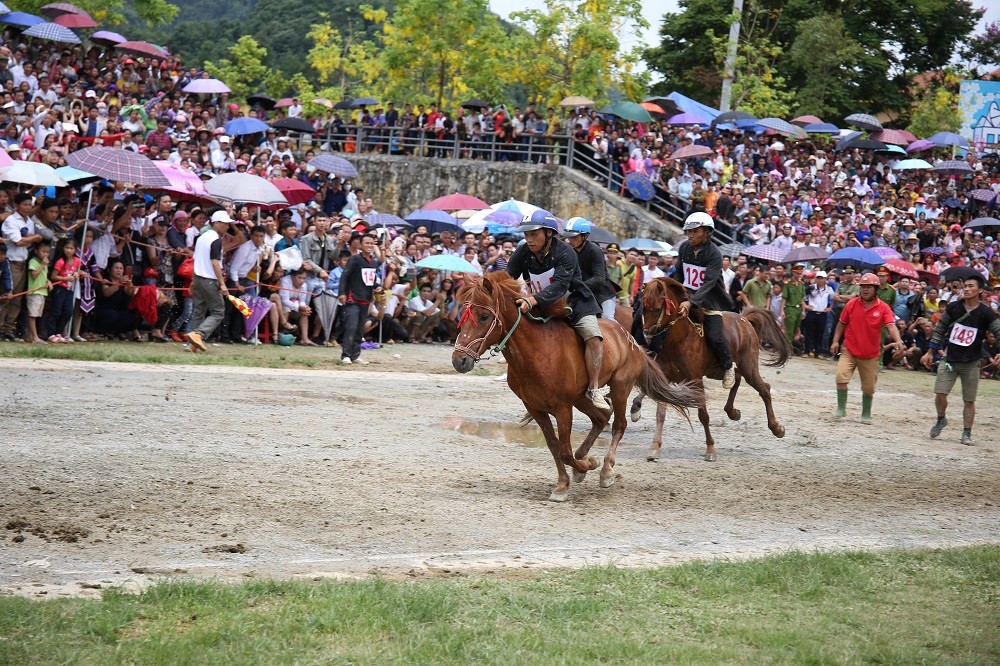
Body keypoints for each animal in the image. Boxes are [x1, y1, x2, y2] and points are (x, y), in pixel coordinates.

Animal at [456, 272, 704, 500]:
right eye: (461, 316)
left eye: (484, 316)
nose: (459, 360)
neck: (537, 351)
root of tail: (632, 340)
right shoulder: (536, 408)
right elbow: (554, 447)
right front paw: (565, 482)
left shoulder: (562, 408)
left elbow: (565, 451)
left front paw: (586, 467)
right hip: (581, 397)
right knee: (601, 419)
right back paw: (585, 459)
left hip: (620, 387)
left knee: (618, 424)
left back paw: (606, 470)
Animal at [632, 278, 788, 460]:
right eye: (643, 308)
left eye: (658, 309)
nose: (647, 336)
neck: (678, 340)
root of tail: (744, 319)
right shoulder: (665, 378)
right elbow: (660, 414)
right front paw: (654, 447)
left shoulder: (696, 380)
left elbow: (703, 416)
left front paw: (711, 449)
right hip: (718, 371)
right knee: (736, 378)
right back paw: (733, 412)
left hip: (748, 366)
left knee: (764, 389)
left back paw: (777, 428)